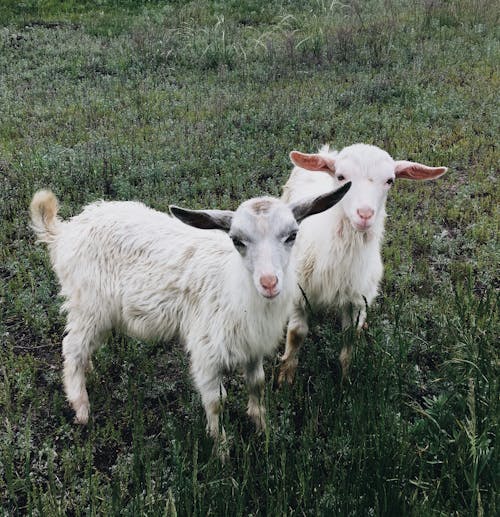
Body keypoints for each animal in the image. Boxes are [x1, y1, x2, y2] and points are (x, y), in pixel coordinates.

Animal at [31, 184, 350, 452]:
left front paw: (263, 429)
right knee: (72, 346)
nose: (269, 282)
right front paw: (222, 451)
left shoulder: (252, 347)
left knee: (82, 347)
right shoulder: (206, 351)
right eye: (237, 240)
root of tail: (65, 232)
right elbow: (216, 402)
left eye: (292, 235)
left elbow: (257, 385)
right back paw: (81, 407)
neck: (232, 283)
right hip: (88, 304)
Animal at [280, 142, 448, 382]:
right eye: (341, 176)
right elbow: (296, 334)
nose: (365, 214)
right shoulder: (298, 293)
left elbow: (350, 342)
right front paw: (285, 378)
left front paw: (345, 382)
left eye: (390, 180)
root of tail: (326, 153)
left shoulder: (358, 302)